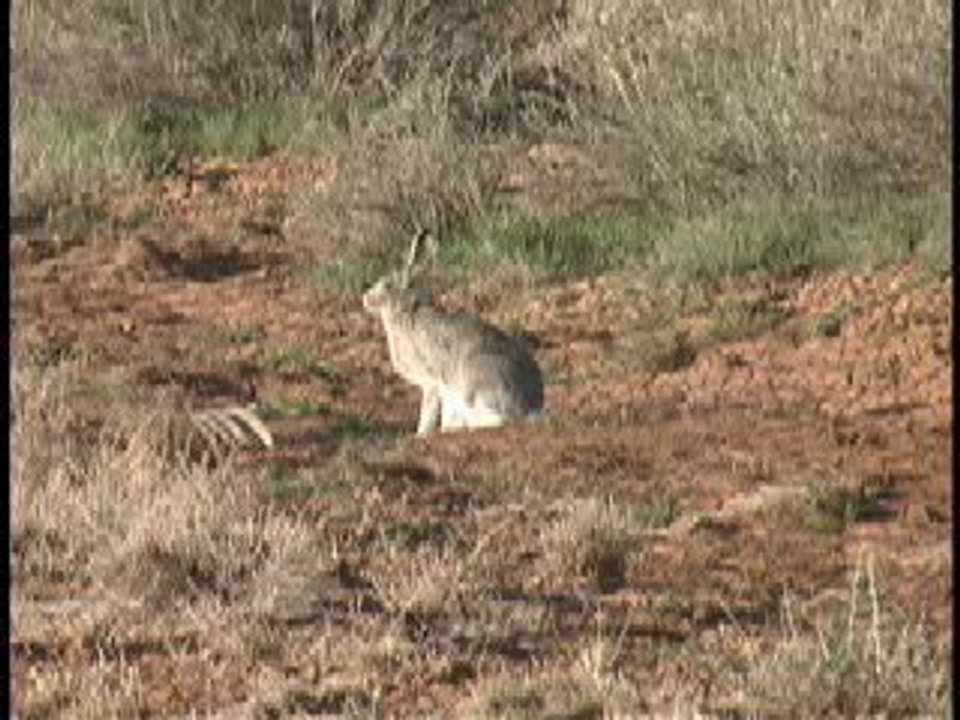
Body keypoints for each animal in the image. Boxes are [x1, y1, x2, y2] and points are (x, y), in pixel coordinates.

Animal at [363, 229, 544, 435]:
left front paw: (421, 434)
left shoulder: (431, 382)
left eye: (386, 285)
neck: (405, 312)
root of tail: (532, 405)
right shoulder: (445, 390)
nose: (365, 298)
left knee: (500, 419)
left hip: (475, 381)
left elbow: (428, 412)